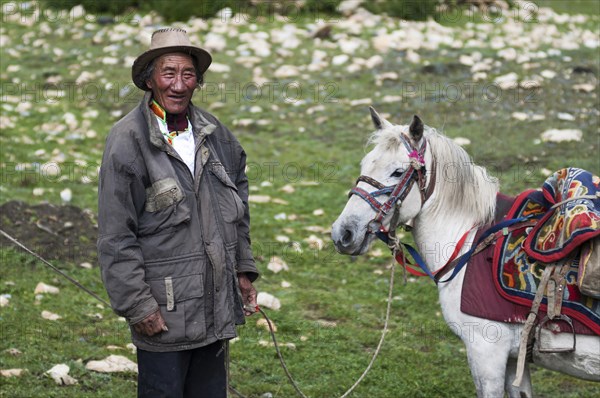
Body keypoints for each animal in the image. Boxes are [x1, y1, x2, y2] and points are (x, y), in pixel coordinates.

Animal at [330, 108, 596, 398]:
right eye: (364, 164)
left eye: (398, 171)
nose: (343, 233)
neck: (469, 242)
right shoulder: (514, 358)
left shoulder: (486, 352)